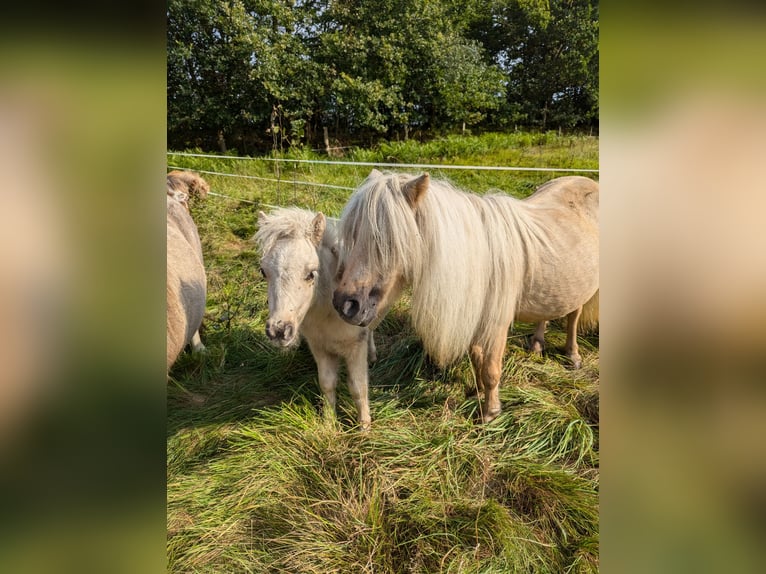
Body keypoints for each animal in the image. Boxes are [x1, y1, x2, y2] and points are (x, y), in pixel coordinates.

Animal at [256, 209, 376, 430]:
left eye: (311, 274)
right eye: (263, 271)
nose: (278, 331)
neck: (329, 312)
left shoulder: (355, 347)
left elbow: (358, 386)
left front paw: (364, 428)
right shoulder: (319, 347)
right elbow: (327, 384)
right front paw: (329, 424)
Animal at [332, 170, 604, 424]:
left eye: (387, 241)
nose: (345, 305)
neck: (482, 261)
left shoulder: (497, 325)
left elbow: (491, 369)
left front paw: (490, 413)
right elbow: (477, 359)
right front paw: (477, 391)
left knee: (573, 317)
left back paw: (572, 356)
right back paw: (537, 344)